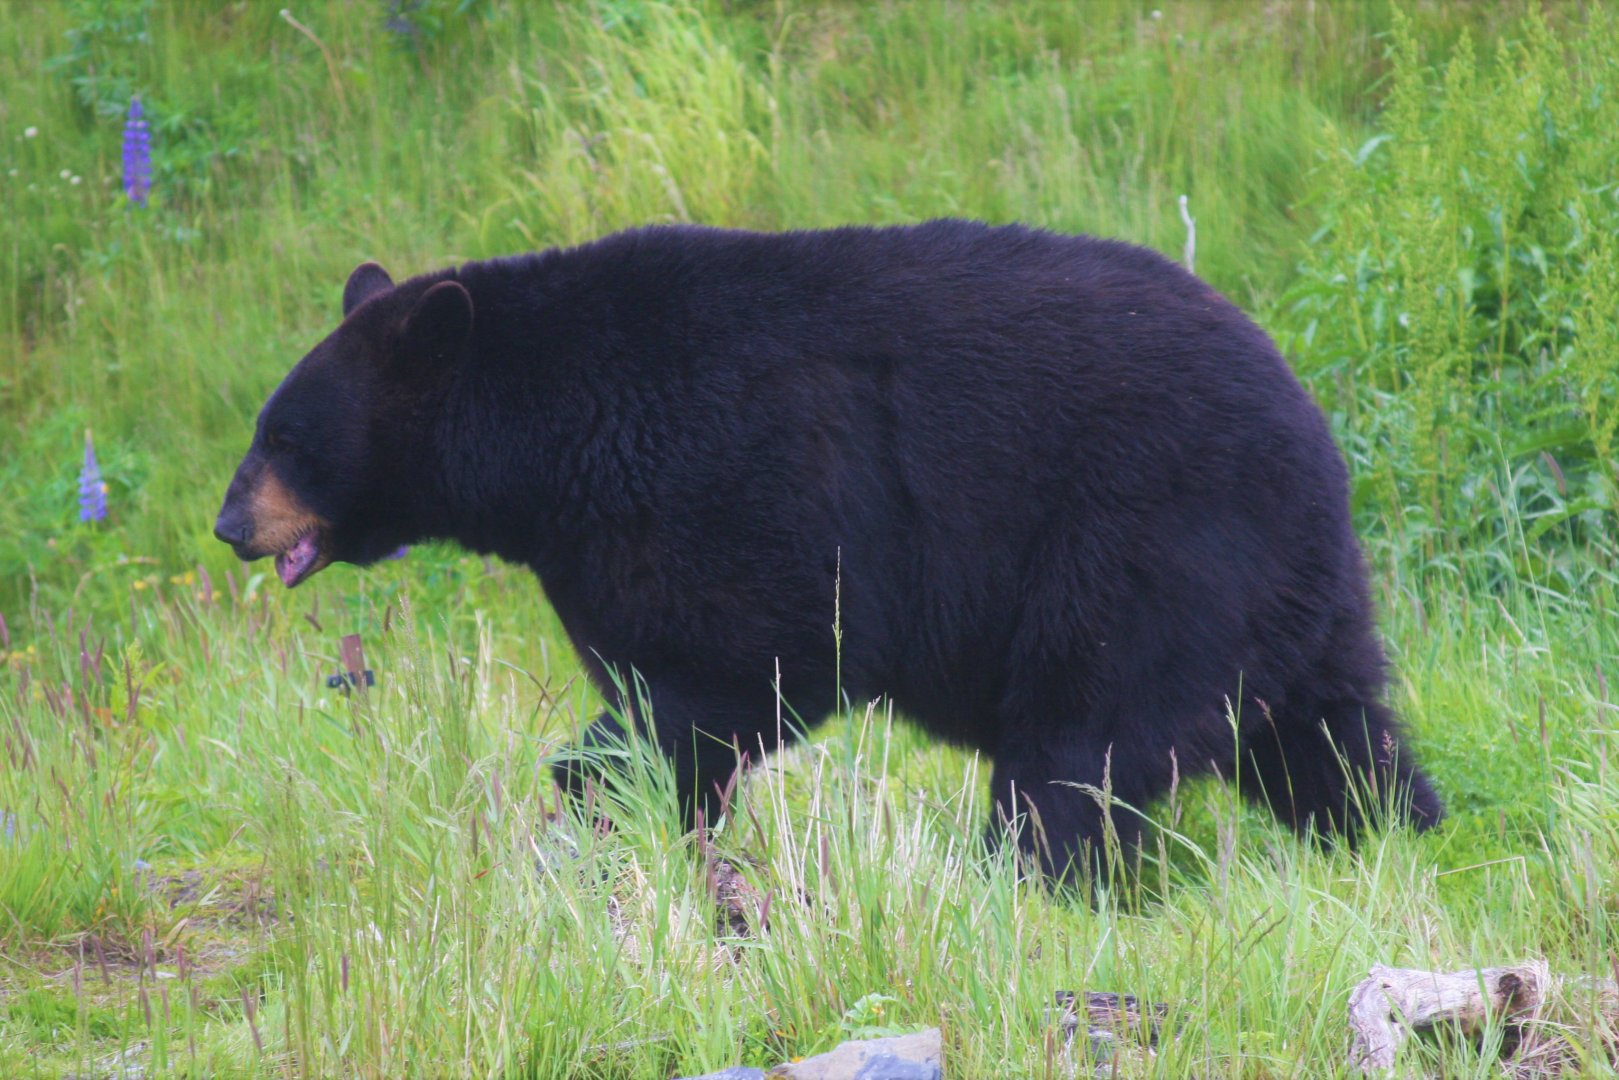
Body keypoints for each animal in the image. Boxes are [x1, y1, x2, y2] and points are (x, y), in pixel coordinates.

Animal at [215, 220, 1442, 882]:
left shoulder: (726, 492)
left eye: (286, 438)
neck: (555, 438)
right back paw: (1403, 832)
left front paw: (597, 804)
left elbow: (732, 671)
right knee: (1332, 736)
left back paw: (1015, 879)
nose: (231, 526)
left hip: (1146, 550)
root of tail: (1310, 429)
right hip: (1281, 594)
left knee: (1080, 747)